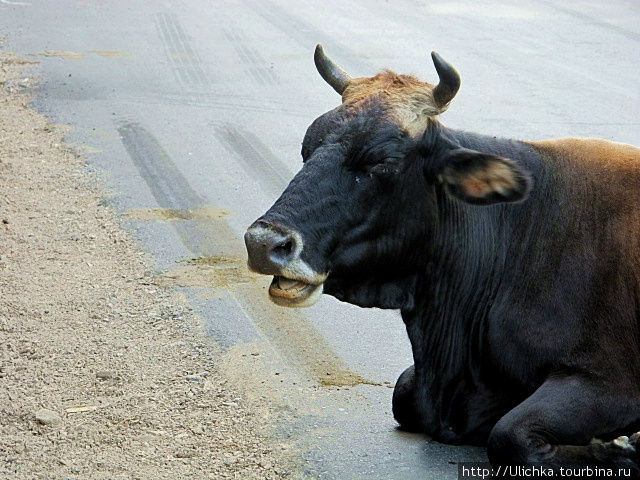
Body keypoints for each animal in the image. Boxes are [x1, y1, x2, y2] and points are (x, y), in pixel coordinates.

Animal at [244, 46, 640, 476]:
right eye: (306, 148)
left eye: (380, 162)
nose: (263, 242)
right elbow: (403, 393)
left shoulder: (610, 383)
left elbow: (510, 435)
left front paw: (617, 447)